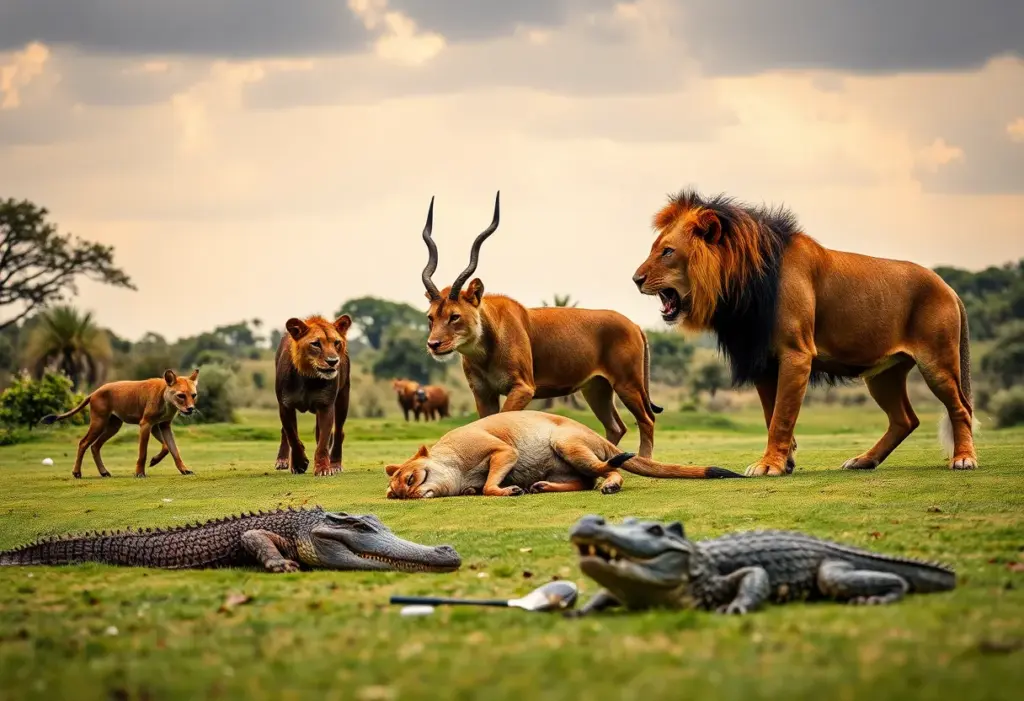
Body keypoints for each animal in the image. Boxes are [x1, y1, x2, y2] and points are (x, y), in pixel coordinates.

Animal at [40, 369, 200, 479]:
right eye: (181, 395)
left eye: (193, 395)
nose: (191, 409)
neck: (166, 397)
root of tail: (94, 392)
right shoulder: (146, 424)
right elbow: (143, 452)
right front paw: (140, 473)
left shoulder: (161, 426)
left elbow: (171, 449)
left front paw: (181, 469)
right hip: (99, 422)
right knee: (83, 443)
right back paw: (77, 472)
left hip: (113, 426)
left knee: (95, 446)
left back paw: (104, 472)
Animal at [274, 314, 352, 477]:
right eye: (316, 344)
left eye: (336, 343)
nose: (333, 361)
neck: (309, 377)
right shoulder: (285, 405)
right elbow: (292, 435)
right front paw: (299, 463)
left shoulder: (325, 406)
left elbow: (323, 441)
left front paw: (323, 468)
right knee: (285, 432)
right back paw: (282, 460)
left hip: (343, 398)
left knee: (338, 432)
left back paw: (335, 464)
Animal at [417, 193, 662, 494]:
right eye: (430, 317)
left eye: (454, 316)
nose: (434, 344)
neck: (488, 341)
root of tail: (635, 326)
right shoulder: (483, 392)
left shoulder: (523, 388)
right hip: (596, 389)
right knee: (616, 427)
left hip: (627, 383)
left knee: (646, 420)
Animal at [632, 189, 977, 476]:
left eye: (667, 252)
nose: (635, 279)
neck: (744, 283)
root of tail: (948, 288)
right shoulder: (763, 360)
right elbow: (771, 414)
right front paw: (784, 462)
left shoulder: (796, 354)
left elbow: (782, 416)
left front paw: (769, 465)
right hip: (882, 375)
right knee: (905, 419)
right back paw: (864, 460)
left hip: (937, 363)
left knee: (961, 408)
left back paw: (964, 459)